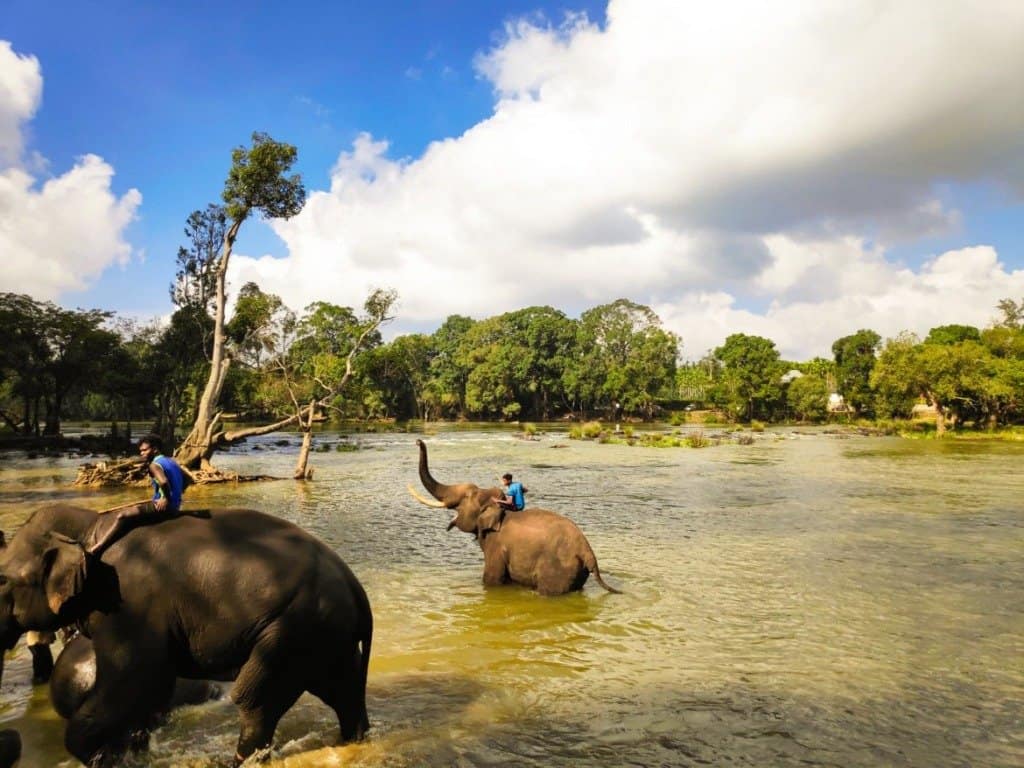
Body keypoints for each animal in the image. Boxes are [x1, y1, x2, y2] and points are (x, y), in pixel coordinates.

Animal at [0, 505, 372, 767]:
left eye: (3, 581)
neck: (90, 525)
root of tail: (356, 588)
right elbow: (148, 692)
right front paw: (130, 753)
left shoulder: (131, 602)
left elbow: (137, 679)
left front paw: (102, 756)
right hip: (323, 635)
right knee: (342, 689)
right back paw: (354, 741)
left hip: (292, 629)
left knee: (255, 700)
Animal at [408, 439, 621, 596]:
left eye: (465, 499)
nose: (418, 441)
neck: (499, 507)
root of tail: (589, 553)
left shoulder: (496, 545)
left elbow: (492, 579)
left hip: (558, 569)